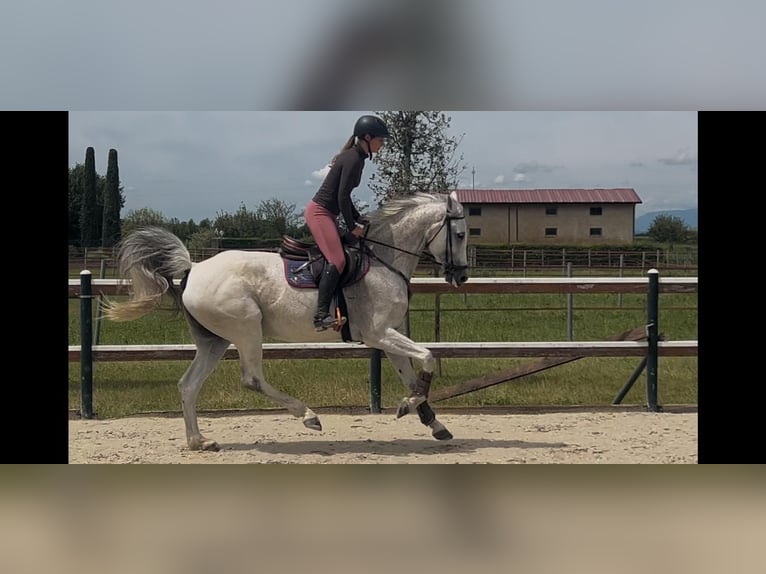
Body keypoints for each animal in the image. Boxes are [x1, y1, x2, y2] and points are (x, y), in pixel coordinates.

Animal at [103, 191, 469, 451]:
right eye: (462, 234)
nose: (462, 276)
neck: (383, 260)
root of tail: (192, 267)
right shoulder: (378, 333)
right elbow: (428, 357)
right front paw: (410, 407)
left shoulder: (388, 338)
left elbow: (413, 376)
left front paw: (431, 422)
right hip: (246, 328)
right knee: (252, 379)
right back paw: (308, 416)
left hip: (214, 341)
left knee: (189, 385)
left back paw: (199, 441)